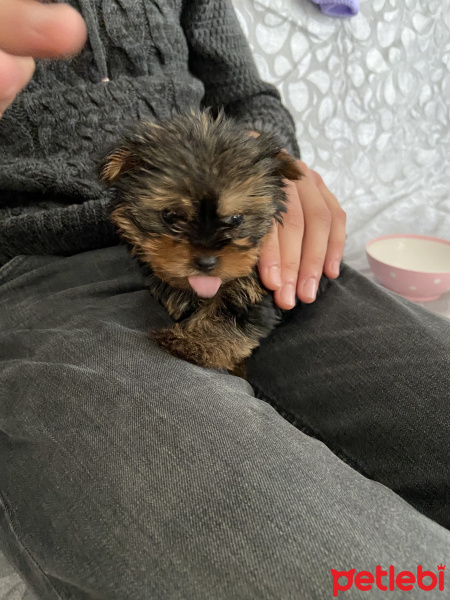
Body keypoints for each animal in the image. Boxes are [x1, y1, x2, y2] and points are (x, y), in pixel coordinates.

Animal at [100, 108, 304, 370]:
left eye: (236, 218)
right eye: (171, 216)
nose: (206, 262)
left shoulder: (255, 285)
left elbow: (231, 314)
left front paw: (192, 345)